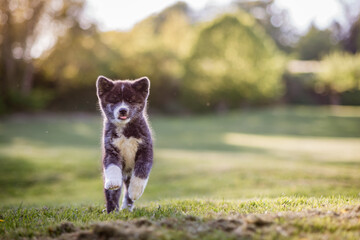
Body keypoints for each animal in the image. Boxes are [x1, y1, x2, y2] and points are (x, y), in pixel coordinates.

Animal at [96, 76, 153, 213]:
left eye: (131, 100)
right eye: (114, 100)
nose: (123, 110)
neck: (126, 133)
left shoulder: (146, 150)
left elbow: (141, 171)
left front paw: (135, 191)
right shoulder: (110, 150)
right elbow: (112, 167)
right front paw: (113, 182)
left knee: (128, 194)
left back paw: (127, 207)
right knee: (112, 196)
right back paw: (113, 212)